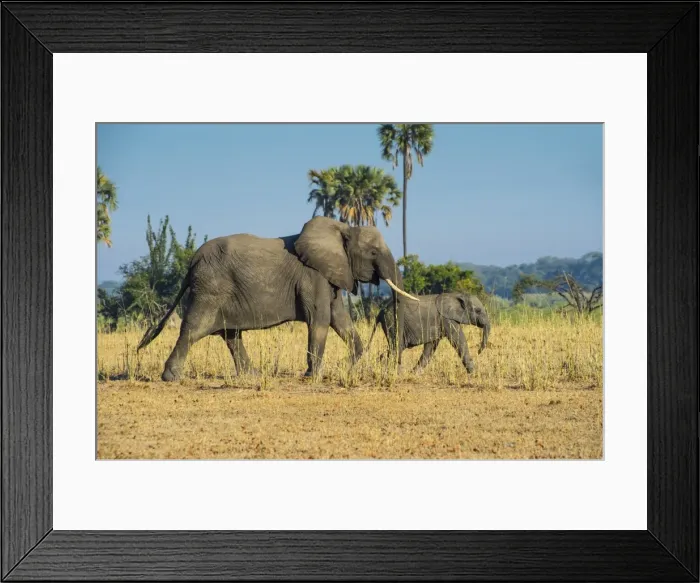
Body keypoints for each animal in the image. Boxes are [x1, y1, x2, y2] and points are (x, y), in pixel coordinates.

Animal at [137, 216, 419, 381]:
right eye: (372, 253)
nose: (387, 360)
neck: (343, 229)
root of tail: (192, 262)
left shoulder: (330, 273)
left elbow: (339, 319)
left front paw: (348, 364)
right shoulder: (312, 275)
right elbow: (320, 319)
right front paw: (312, 376)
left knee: (230, 334)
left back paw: (250, 376)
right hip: (210, 288)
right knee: (195, 329)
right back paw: (171, 377)